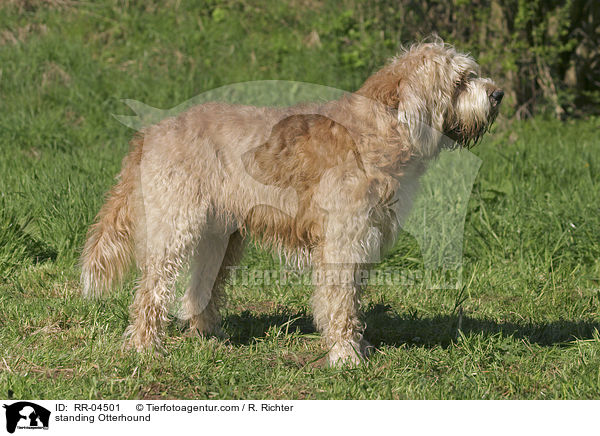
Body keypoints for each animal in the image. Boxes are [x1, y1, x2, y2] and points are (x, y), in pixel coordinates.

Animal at [79, 40, 502, 364]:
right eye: (462, 80)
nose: (498, 94)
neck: (382, 130)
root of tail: (151, 130)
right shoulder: (343, 241)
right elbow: (339, 303)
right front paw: (346, 356)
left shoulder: (362, 239)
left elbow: (354, 301)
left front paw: (359, 346)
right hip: (174, 228)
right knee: (150, 292)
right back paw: (145, 347)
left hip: (220, 238)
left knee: (198, 290)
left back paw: (208, 337)